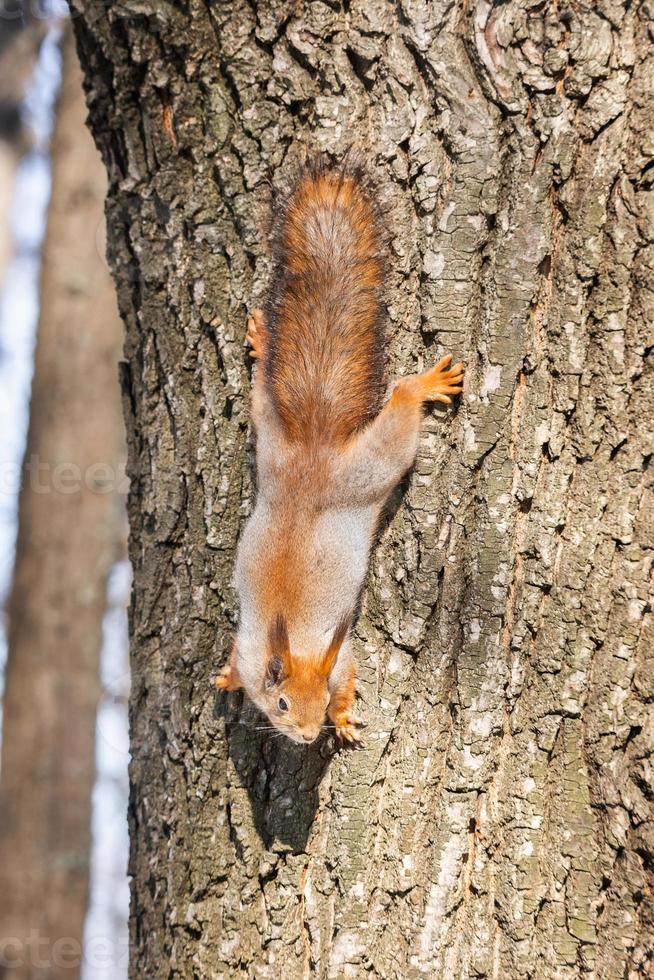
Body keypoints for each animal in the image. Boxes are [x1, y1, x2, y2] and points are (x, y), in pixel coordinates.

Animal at [218, 159, 464, 744]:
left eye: (323, 695)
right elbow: (238, 664)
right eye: (282, 703)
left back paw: (422, 386)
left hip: (369, 466)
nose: (309, 735)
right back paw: (263, 343)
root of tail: (315, 450)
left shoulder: (340, 649)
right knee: (263, 393)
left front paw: (345, 716)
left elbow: (350, 673)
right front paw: (227, 678)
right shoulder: (251, 648)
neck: (295, 641)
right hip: (275, 440)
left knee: (400, 405)